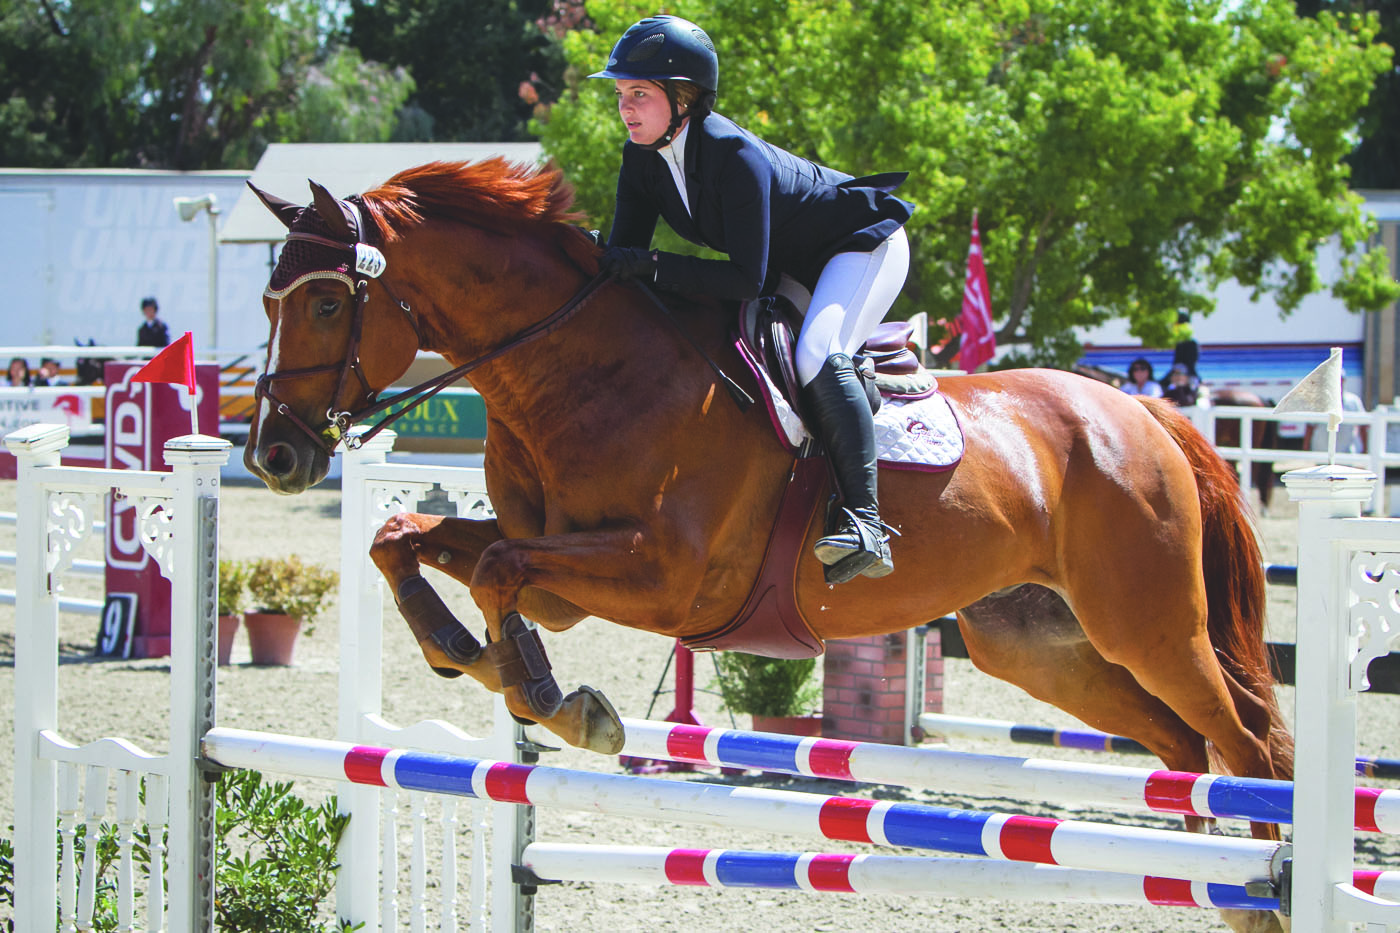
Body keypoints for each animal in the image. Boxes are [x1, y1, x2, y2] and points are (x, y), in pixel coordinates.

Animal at [243, 161, 1288, 902]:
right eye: (267, 302)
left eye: (328, 301)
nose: (275, 457)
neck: (582, 368)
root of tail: (1143, 413)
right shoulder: (567, 576)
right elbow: (405, 537)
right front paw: (468, 652)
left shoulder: (664, 576)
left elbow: (496, 564)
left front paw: (553, 697)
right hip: (1043, 644)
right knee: (1184, 745)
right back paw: (1207, 883)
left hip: (1149, 625)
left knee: (1250, 749)